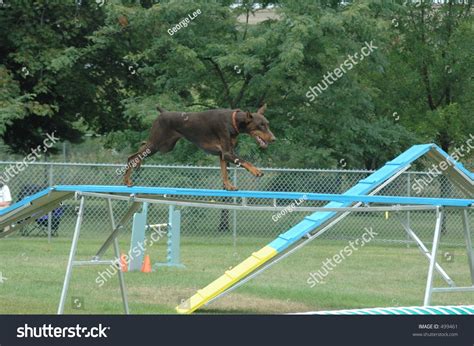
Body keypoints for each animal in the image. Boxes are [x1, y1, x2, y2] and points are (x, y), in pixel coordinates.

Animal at [124, 104, 276, 191]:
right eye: (261, 125)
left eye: (267, 124)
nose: (274, 139)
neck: (233, 121)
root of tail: (163, 112)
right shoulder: (227, 153)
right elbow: (244, 161)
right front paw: (257, 171)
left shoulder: (223, 154)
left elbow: (224, 173)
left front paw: (228, 186)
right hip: (157, 143)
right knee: (132, 156)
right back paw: (127, 181)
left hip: (165, 146)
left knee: (141, 145)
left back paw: (136, 166)